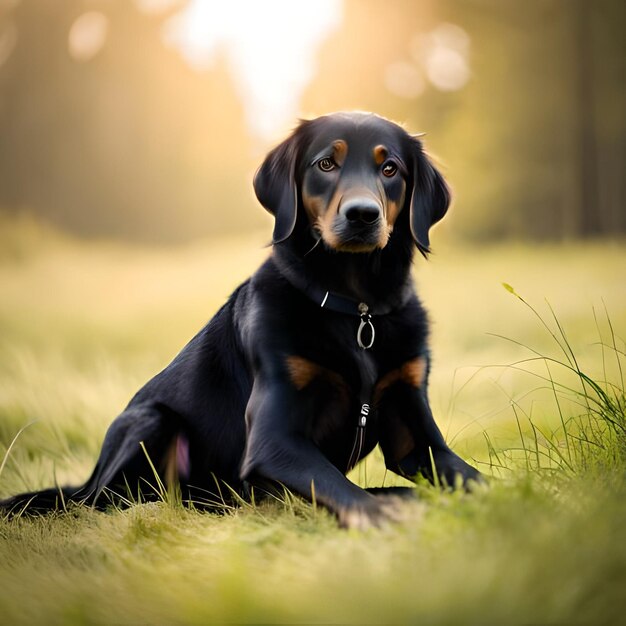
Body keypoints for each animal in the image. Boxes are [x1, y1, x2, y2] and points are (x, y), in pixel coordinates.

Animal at [0, 112, 480, 528]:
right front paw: (381, 517)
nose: (362, 215)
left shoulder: (415, 433)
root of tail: (87, 479)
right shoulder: (272, 440)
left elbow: (476, 479)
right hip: (150, 421)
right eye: (326, 163)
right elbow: (343, 488)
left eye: (391, 168)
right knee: (108, 502)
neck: (356, 309)